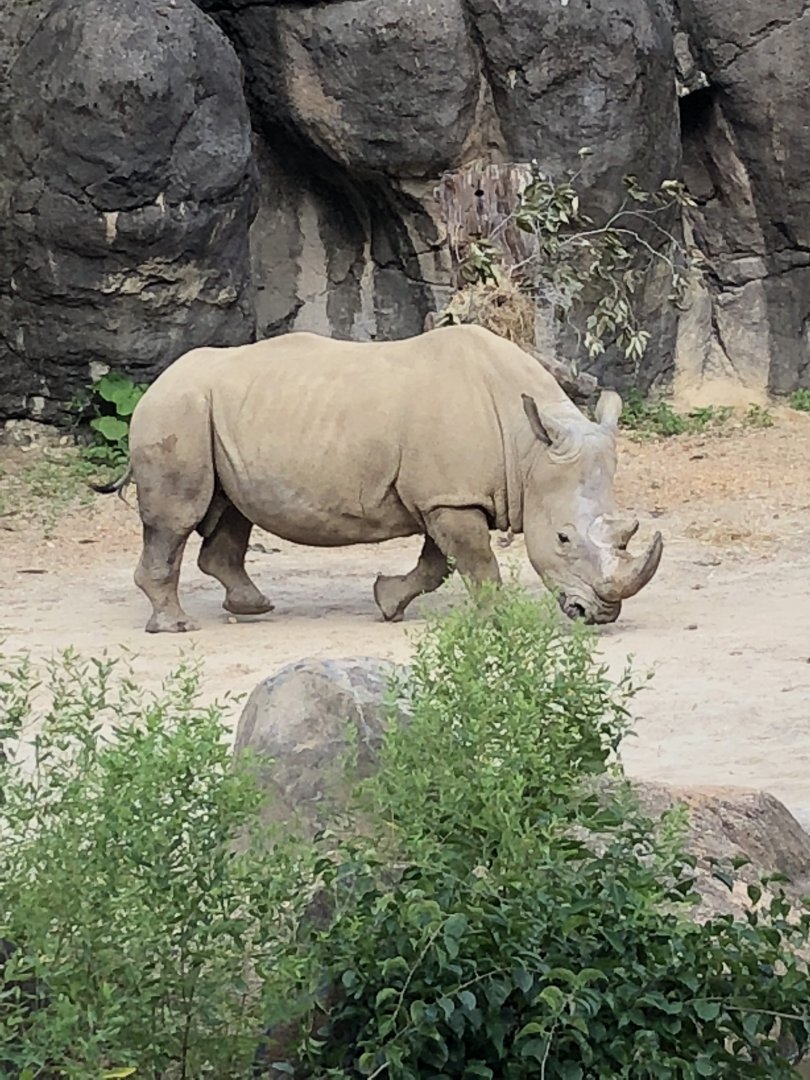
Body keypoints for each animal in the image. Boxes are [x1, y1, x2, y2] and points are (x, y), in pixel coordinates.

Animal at [94, 324, 663, 633]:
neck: (529, 450)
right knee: (178, 517)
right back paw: (176, 626)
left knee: (233, 509)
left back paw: (254, 606)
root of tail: (158, 380)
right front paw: (497, 621)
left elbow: (440, 564)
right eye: (563, 538)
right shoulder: (449, 497)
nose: (599, 613)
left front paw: (388, 602)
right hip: (178, 409)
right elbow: (476, 563)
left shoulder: (444, 495)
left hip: (216, 411)